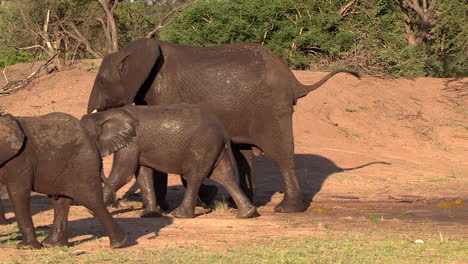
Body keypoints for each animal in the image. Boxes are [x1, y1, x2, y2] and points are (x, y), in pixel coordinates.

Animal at [0, 112, 126, 249]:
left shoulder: (20, 158)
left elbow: (18, 192)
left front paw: (27, 248)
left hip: (83, 162)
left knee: (91, 200)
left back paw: (118, 243)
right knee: (60, 201)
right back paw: (53, 244)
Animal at [80, 104, 256, 218]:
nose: (118, 203)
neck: (104, 115)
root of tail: (223, 130)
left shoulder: (131, 144)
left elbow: (124, 174)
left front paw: (92, 211)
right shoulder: (137, 145)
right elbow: (143, 174)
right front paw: (149, 215)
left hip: (201, 146)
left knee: (193, 177)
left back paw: (179, 215)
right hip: (215, 147)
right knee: (225, 177)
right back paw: (247, 214)